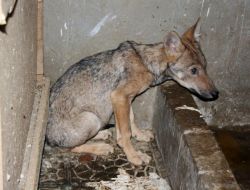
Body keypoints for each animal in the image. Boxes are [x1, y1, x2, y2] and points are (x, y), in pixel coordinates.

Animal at [47, 18, 219, 166]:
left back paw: (101, 135)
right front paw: (134, 155)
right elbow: (125, 132)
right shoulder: (119, 97)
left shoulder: (126, 100)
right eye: (194, 70)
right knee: (68, 148)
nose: (216, 94)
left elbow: (131, 120)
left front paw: (139, 135)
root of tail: (48, 140)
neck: (146, 64)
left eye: (205, 66)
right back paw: (100, 147)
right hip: (91, 118)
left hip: (98, 118)